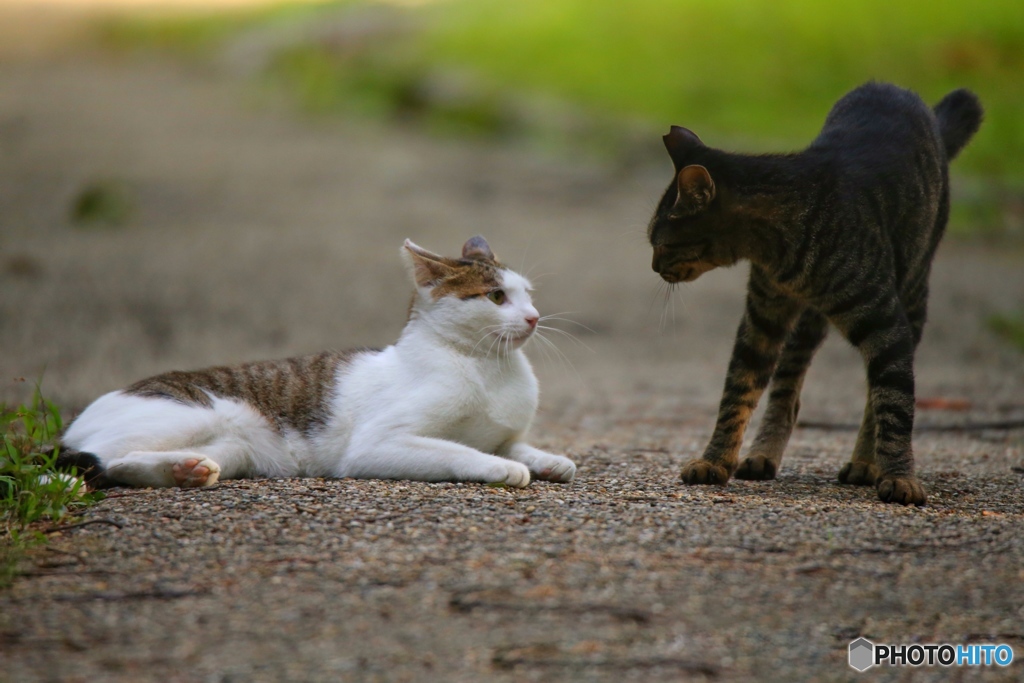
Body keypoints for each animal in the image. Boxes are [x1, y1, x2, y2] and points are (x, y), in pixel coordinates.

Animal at [58, 237, 577, 489]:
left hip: (235, 449)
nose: (534, 317)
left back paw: (186, 471)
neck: (486, 367)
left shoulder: (505, 434)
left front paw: (550, 461)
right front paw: (500, 469)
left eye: (528, 294)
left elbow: (519, 447)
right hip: (189, 414)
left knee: (119, 466)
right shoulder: (375, 445)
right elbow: (460, 451)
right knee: (104, 456)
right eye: (497, 297)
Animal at [647, 82, 983, 505]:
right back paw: (763, 453)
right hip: (805, 325)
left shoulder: (886, 324)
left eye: (661, 243)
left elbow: (894, 405)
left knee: (878, 395)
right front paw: (715, 460)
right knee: (788, 392)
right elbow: (737, 392)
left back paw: (865, 463)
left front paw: (900, 476)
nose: (652, 266)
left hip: (913, 294)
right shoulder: (761, 321)